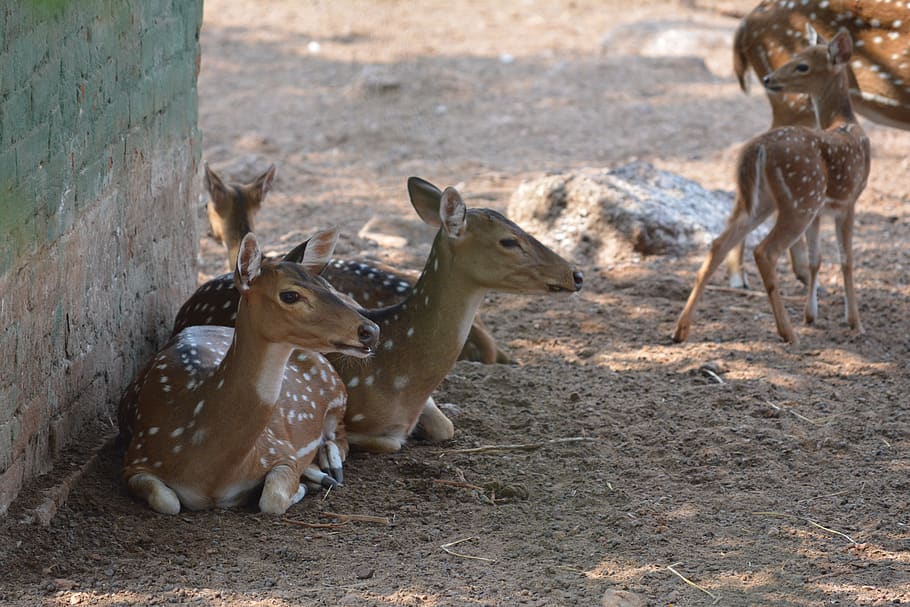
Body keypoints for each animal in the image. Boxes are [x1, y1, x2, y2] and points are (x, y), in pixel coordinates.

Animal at [118, 230, 380, 515]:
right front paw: (305, 483)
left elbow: (272, 500)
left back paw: (328, 468)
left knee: (341, 436)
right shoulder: (137, 457)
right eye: (290, 295)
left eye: (327, 284)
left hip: (337, 395)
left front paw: (301, 485)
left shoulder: (280, 450)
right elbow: (167, 501)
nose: (371, 330)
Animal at [673, 29, 870, 344]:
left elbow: (815, 259)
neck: (847, 123)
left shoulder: (821, 210)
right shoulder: (849, 200)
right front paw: (854, 323)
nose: (767, 78)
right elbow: (846, 260)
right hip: (799, 199)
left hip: (760, 201)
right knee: (764, 251)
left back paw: (681, 330)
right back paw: (787, 332)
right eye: (795, 58)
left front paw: (811, 316)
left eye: (802, 65)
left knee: (718, 244)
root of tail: (757, 149)